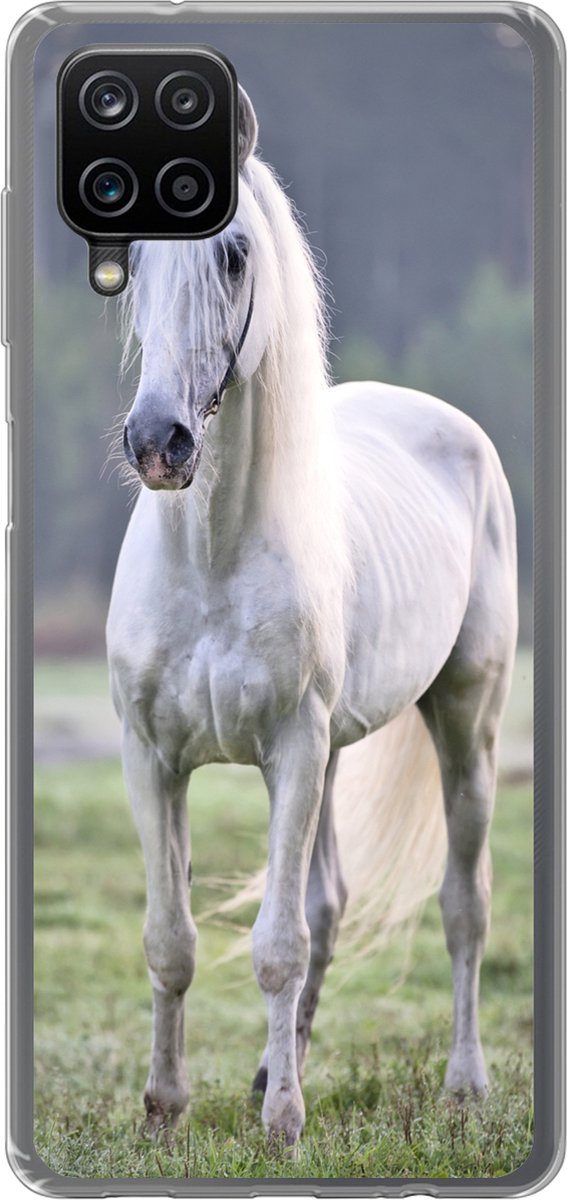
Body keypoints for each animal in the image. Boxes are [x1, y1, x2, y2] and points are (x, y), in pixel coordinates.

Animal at [106, 85, 518, 1147]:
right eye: (131, 256)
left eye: (235, 253)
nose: (159, 441)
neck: (210, 560)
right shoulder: (152, 758)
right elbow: (170, 940)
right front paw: (164, 1108)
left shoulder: (290, 750)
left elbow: (277, 945)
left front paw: (283, 1123)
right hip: (333, 752)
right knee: (329, 903)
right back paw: (267, 1068)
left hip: (463, 721)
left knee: (462, 905)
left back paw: (462, 1084)